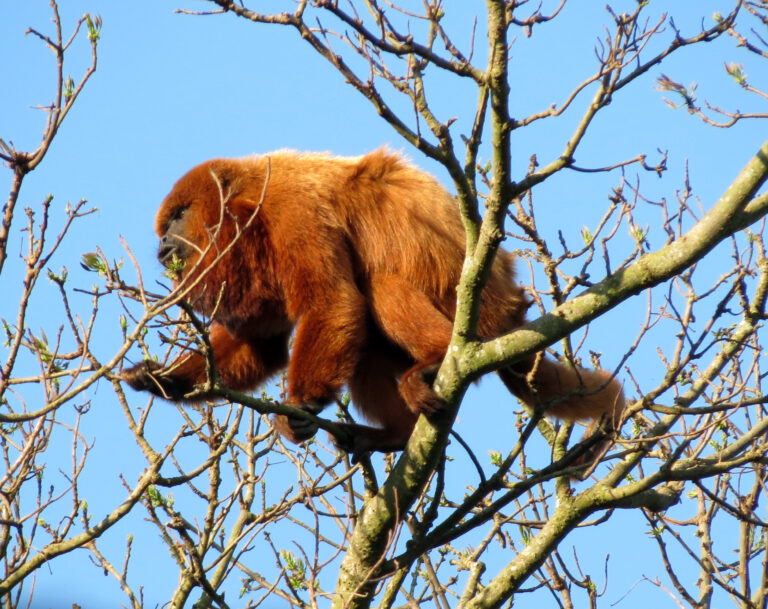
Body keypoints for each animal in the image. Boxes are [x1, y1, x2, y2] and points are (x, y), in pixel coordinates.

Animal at [122, 148, 625, 458]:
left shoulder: (293, 212)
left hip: (479, 315)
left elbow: (332, 301)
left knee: (377, 286)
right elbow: (263, 345)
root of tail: (513, 312)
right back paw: (394, 436)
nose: (162, 246)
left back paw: (433, 359)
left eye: (178, 216)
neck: (250, 204)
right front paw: (161, 379)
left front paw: (301, 405)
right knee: (364, 344)